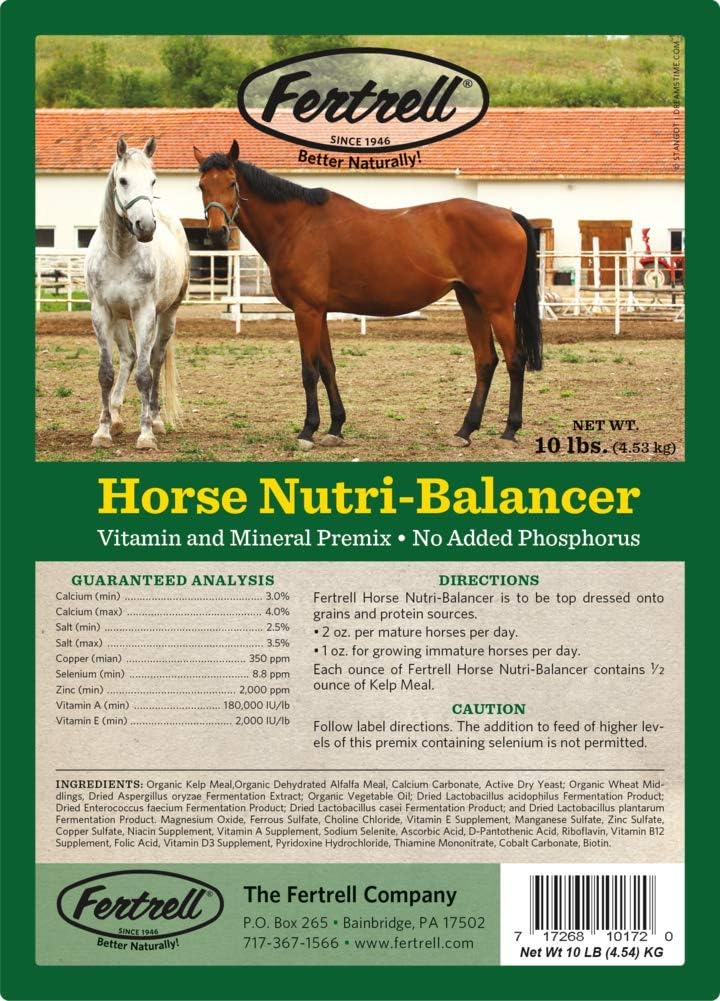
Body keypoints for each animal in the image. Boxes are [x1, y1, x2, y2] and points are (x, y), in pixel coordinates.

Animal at [85, 137, 189, 450]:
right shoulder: (101, 312)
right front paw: (103, 431)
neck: (119, 252)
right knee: (129, 356)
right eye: (123, 180)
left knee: (154, 359)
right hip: (120, 317)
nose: (146, 226)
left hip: (166, 315)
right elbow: (106, 373)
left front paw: (145, 435)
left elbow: (145, 375)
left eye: (153, 180)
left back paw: (155, 419)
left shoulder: (144, 313)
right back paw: (117, 418)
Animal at [193, 140, 542, 451]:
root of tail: (508, 215)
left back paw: (509, 431)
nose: (216, 232)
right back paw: (465, 430)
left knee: (515, 359)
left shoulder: (306, 311)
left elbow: (309, 371)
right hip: (471, 302)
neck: (297, 225)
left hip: (497, 306)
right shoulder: (319, 311)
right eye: (201, 186)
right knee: (485, 361)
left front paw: (307, 431)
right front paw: (335, 428)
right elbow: (327, 367)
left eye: (232, 182)